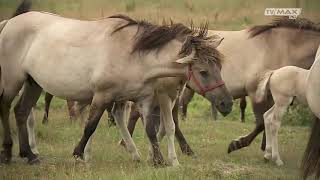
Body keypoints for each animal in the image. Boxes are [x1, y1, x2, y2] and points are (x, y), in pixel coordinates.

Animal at [0, 1, 231, 165]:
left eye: (219, 68)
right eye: (203, 72)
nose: (227, 104)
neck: (131, 54)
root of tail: (9, 23)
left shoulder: (143, 99)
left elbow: (150, 129)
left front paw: (158, 160)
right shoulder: (102, 96)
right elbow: (90, 127)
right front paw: (78, 154)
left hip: (33, 83)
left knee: (21, 112)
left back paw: (29, 155)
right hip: (13, 81)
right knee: (6, 107)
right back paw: (8, 152)